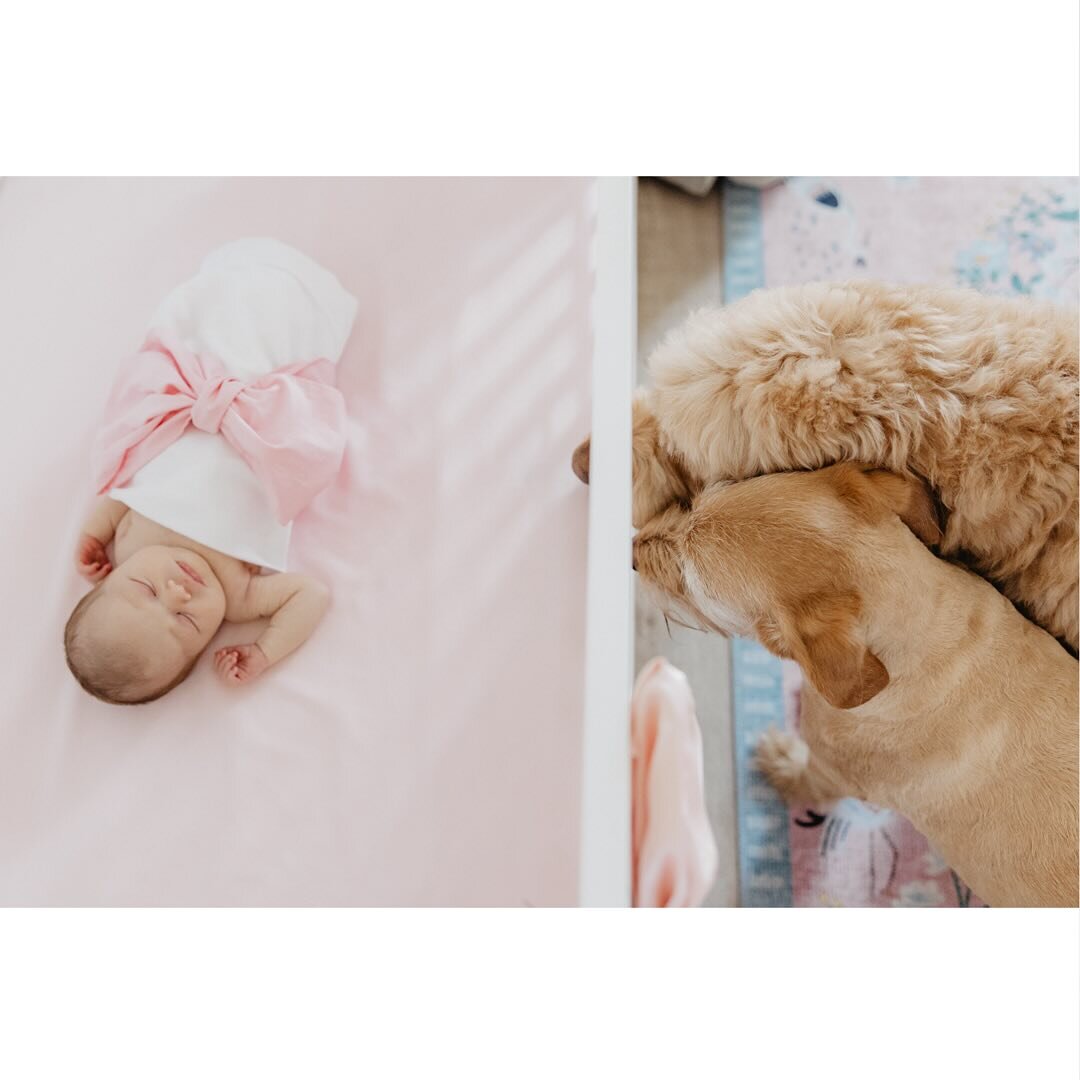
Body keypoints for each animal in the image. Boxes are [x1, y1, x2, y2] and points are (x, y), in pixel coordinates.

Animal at [630, 464, 1080, 911]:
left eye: (688, 582)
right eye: (693, 504)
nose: (632, 554)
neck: (927, 629)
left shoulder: (832, 773)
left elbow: (807, 777)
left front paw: (783, 761)